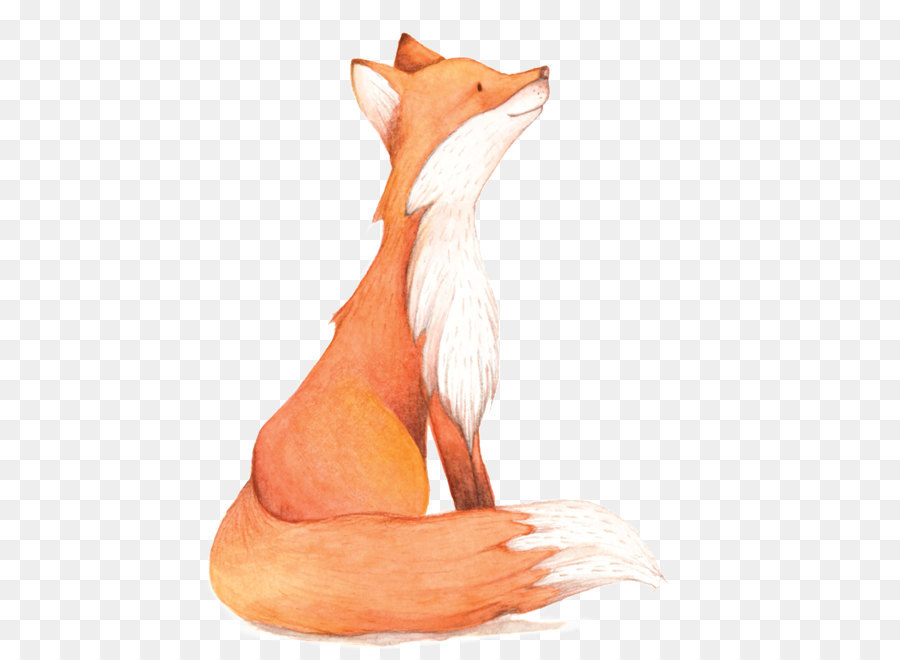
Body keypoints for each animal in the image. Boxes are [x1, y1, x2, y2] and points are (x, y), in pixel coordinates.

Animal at [209, 34, 662, 637]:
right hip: (401, 468)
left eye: (493, 70)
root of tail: (254, 495)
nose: (544, 70)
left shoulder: (467, 395)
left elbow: (483, 490)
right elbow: (473, 496)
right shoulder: (446, 387)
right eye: (480, 87)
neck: (446, 249)